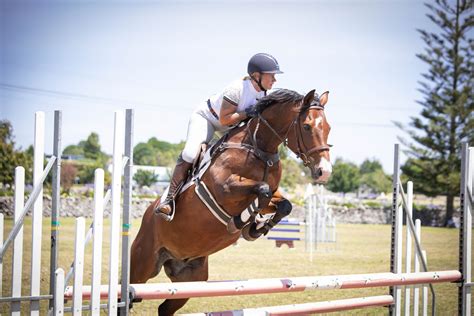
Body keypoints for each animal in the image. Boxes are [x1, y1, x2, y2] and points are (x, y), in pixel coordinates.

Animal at [128, 87, 332, 314]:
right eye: (306, 126)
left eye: (328, 128)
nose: (324, 171)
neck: (259, 148)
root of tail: (148, 215)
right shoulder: (225, 189)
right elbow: (262, 190)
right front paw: (240, 223)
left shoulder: (271, 193)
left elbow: (282, 203)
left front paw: (256, 227)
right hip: (142, 266)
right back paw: (165, 208)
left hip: (190, 279)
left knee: (165, 308)